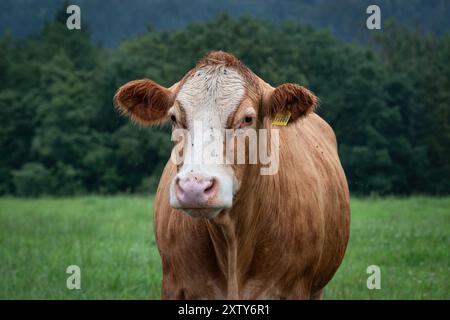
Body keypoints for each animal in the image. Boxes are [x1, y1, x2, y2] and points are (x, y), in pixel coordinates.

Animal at [114, 51, 350, 298]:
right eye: (173, 118)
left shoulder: (297, 287)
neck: (233, 243)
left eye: (247, 119)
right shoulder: (172, 284)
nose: (194, 188)